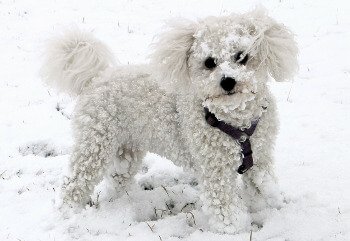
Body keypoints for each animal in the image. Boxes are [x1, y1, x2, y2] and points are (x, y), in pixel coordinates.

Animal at [41, 9, 298, 233]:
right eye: (209, 62)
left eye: (241, 57)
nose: (227, 81)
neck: (236, 122)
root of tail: (97, 77)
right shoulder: (215, 170)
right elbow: (224, 206)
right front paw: (234, 229)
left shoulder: (261, 158)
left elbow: (261, 186)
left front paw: (268, 206)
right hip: (94, 145)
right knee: (74, 182)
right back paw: (67, 212)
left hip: (127, 148)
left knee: (118, 179)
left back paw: (123, 204)